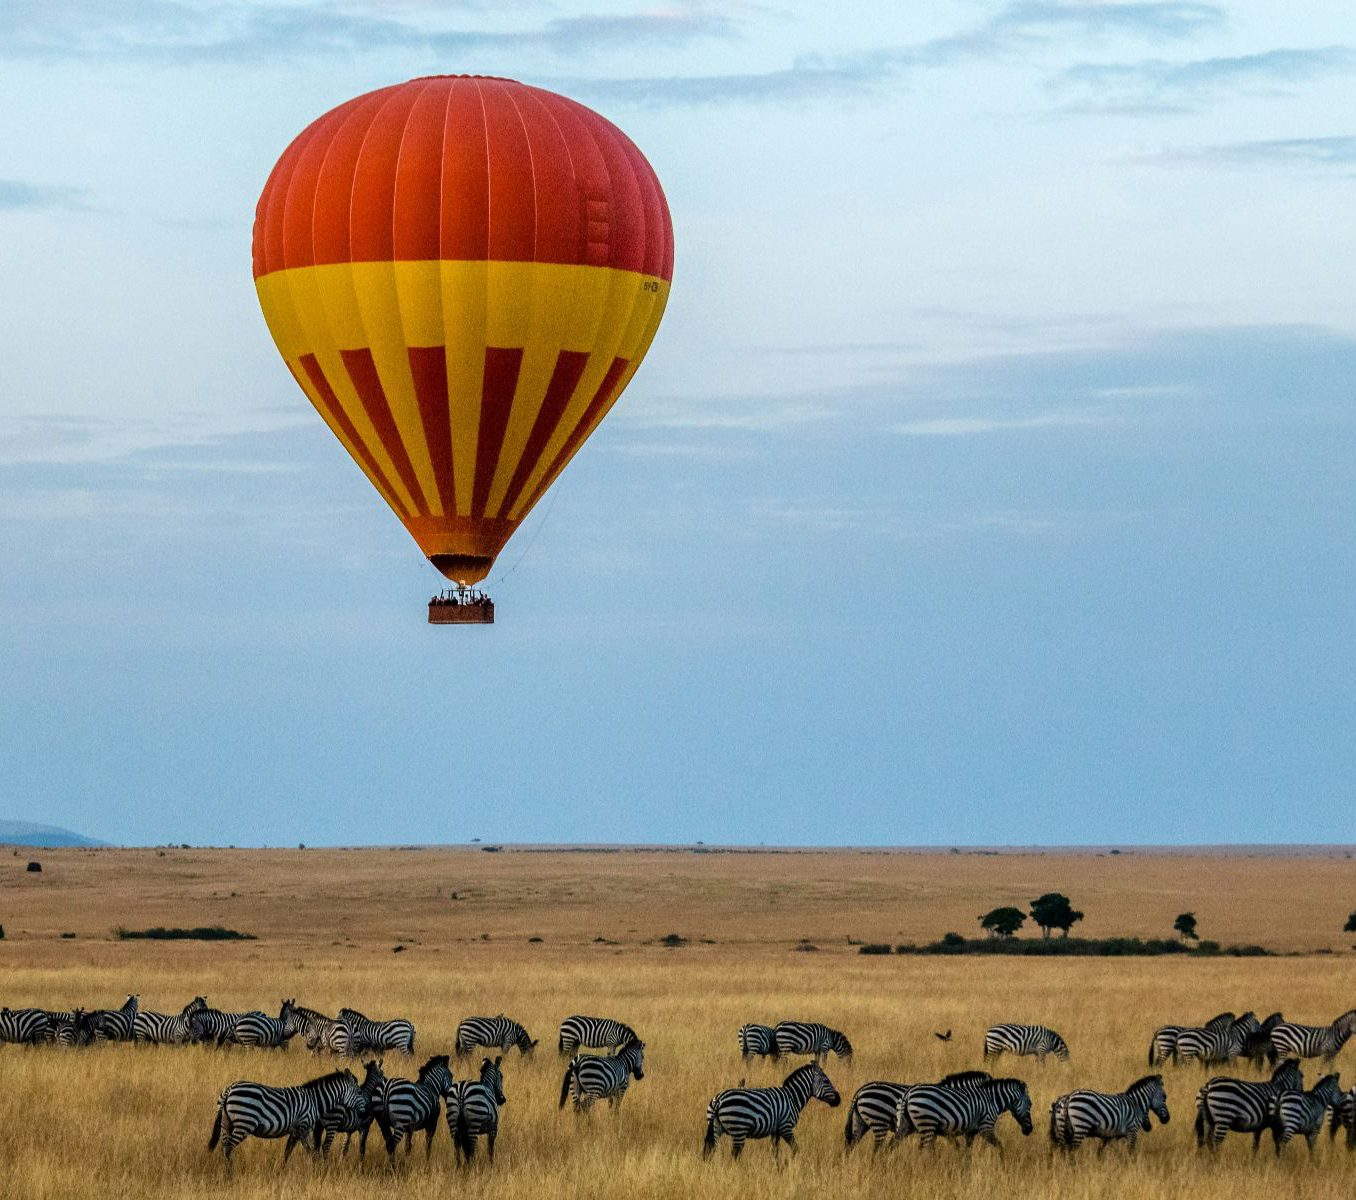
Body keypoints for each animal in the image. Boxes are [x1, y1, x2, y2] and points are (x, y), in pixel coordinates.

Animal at [208, 1068, 362, 1166]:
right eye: (359, 1092)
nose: (365, 1107)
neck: (315, 1100)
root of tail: (229, 1089)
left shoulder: (305, 1129)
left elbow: (310, 1150)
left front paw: (314, 1169)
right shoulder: (300, 1125)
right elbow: (288, 1150)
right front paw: (282, 1169)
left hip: (226, 1123)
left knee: (224, 1145)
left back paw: (224, 1167)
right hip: (244, 1122)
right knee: (228, 1146)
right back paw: (229, 1172)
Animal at [703, 1062, 841, 1159]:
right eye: (826, 1081)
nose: (839, 1099)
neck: (792, 1097)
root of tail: (719, 1100)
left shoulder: (776, 1131)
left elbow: (775, 1152)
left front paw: (779, 1168)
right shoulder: (786, 1127)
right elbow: (795, 1148)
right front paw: (793, 1163)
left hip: (716, 1127)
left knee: (710, 1151)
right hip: (739, 1130)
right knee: (735, 1155)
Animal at [898, 1077, 1034, 1152]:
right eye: (1030, 1105)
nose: (1030, 1130)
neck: (992, 1100)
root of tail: (909, 1092)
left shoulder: (970, 1133)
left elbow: (967, 1153)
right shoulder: (986, 1127)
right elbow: (1000, 1147)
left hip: (908, 1125)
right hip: (927, 1123)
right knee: (922, 1149)